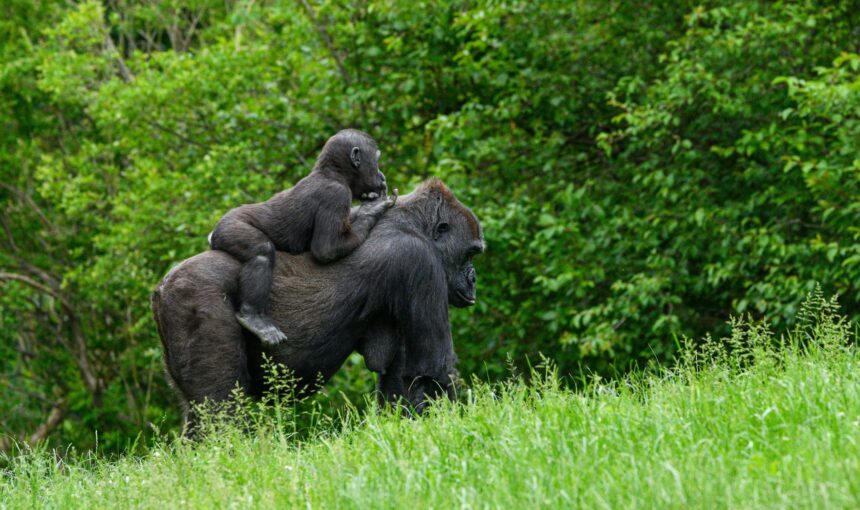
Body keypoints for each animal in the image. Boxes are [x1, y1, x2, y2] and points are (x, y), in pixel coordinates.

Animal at [207, 129, 395, 346]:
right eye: (376, 160)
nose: (381, 175)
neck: (334, 174)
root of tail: (212, 233)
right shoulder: (336, 195)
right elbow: (326, 249)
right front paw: (371, 211)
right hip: (229, 226)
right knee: (261, 252)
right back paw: (253, 317)